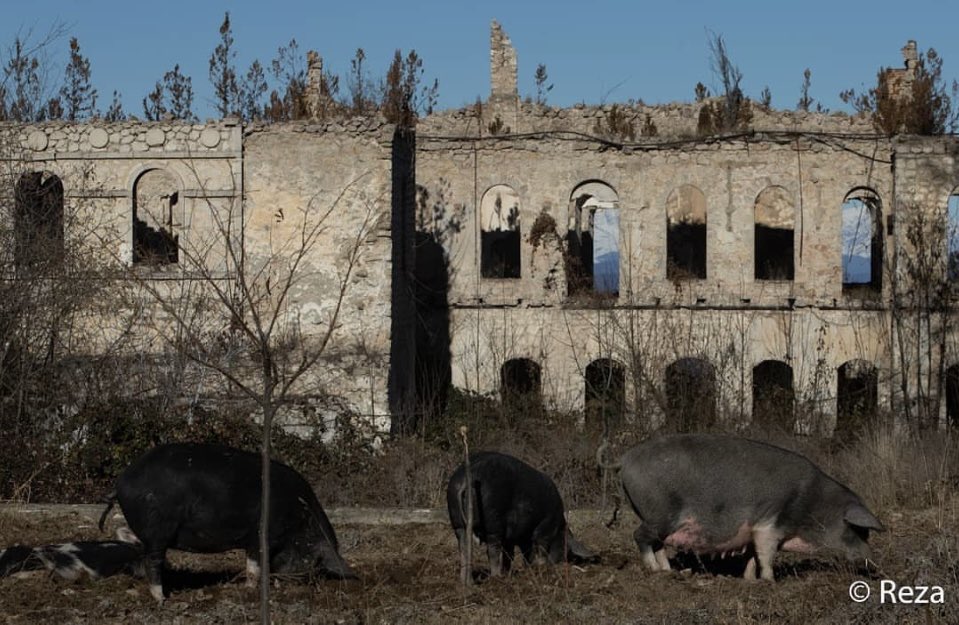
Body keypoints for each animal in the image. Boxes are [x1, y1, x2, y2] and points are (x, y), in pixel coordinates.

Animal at [99, 442, 354, 604]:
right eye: (313, 560)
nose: (293, 582)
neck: (300, 520)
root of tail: (120, 482)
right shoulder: (260, 535)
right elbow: (254, 566)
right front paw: (252, 591)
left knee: (130, 539)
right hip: (157, 529)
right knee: (153, 561)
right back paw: (162, 599)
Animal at [616, 434, 884, 580]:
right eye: (859, 531)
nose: (873, 562)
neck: (814, 505)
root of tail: (624, 458)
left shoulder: (754, 532)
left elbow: (753, 556)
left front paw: (749, 579)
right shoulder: (770, 524)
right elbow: (766, 554)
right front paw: (770, 581)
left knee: (657, 544)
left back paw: (667, 571)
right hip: (659, 514)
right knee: (640, 536)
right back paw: (654, 570)